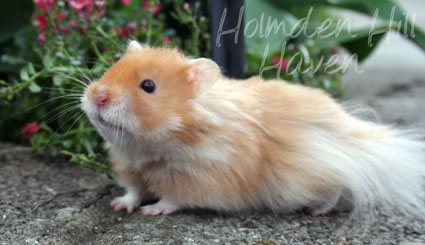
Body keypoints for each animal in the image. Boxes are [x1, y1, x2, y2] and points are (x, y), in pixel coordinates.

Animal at [80, 41, 424, 217]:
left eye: (148, 86)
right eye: (112, 68)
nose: (97, 97)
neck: (146, 144)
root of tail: (349, 130)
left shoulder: (198, 179)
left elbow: (173, 199)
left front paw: (152, 212)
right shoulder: (129, 168)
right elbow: (134, 190)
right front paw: (119, 205)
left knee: (339, 185)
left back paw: (316, 211)